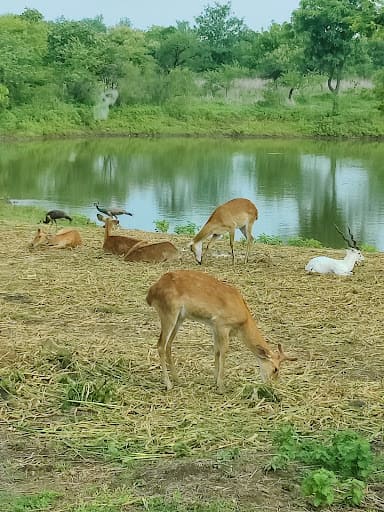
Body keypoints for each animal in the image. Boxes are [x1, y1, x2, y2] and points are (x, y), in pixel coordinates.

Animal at [146, 268, 296, 392]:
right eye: (276, 369)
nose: (271, 386)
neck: (243, 320)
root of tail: (151, 293)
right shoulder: (222, 325)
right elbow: (224, 351)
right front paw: (221, 386)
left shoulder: (214, 327)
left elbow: (216, 351)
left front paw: (214, 380)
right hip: (169, 313)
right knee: (160, 345)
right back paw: (168, 384)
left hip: (179, 318)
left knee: (168, 345)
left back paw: (178, 380)